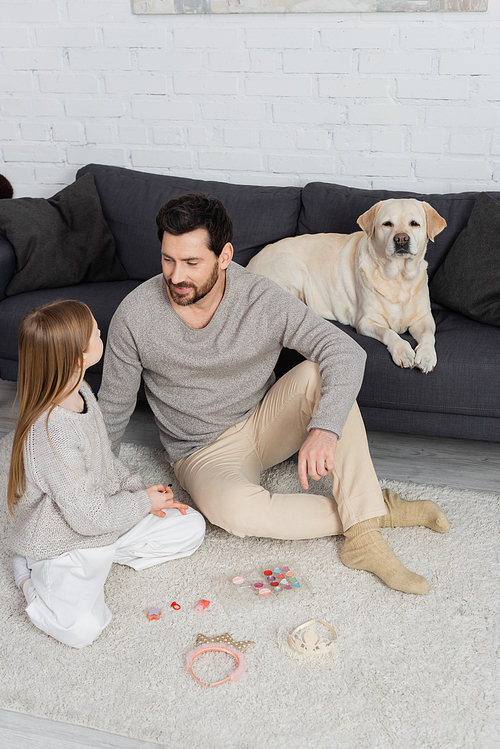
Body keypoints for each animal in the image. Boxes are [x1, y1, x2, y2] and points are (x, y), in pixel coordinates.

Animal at [248, 200, 448, 372]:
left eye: (414, 223)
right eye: (387, 224)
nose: (401, 239)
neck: (398, 277)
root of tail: (249, 264)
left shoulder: (423, 319)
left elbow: (429, 335)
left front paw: (426, 356)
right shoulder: (366, 322)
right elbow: (390, 333)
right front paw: (403, 351)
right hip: (294, 266)